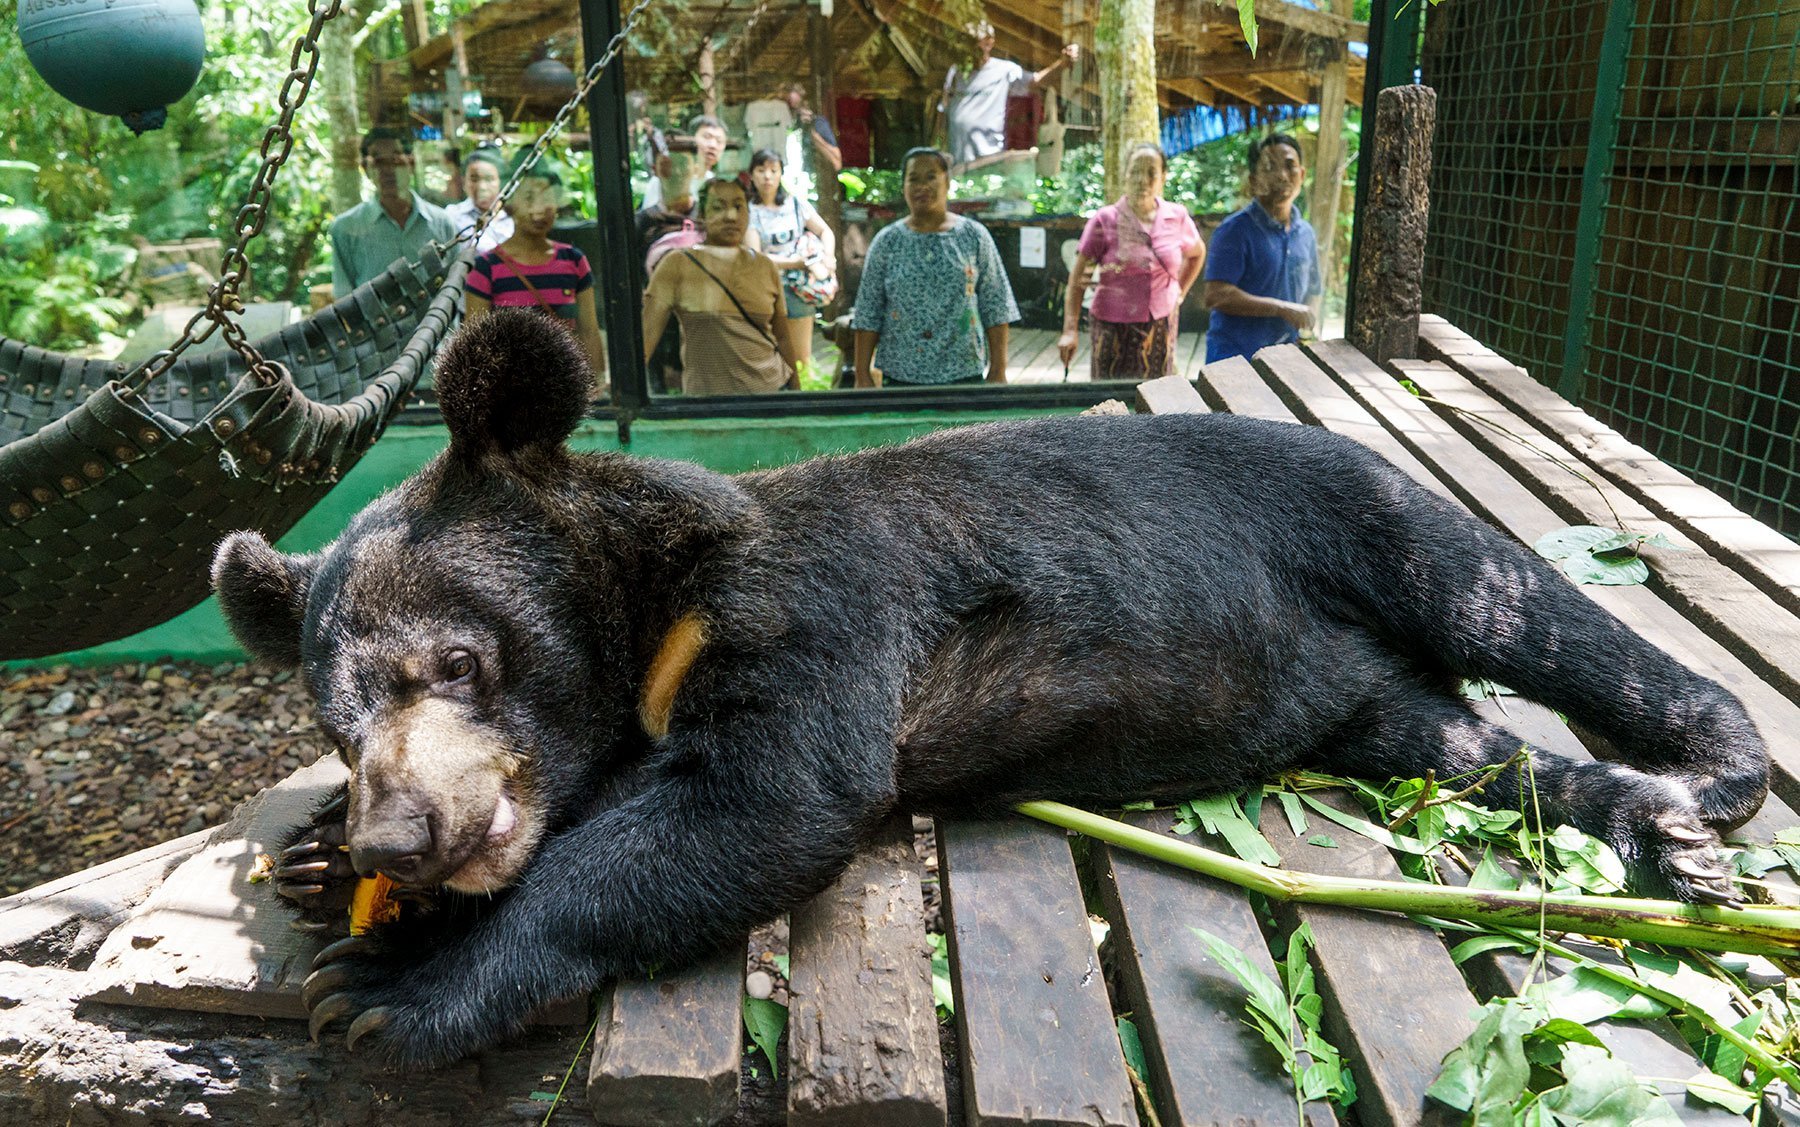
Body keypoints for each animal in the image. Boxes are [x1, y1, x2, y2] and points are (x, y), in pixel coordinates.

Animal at [214, 307, 1771, 1058]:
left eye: (458, 662)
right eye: (338, 730)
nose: (402, 830)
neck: (654, 612)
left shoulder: (815, 609)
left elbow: (754, 799)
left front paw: (395, 985)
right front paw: (322, 871)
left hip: (1369, 516)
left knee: (1526, 610)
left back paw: (1718, 774)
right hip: (1371, 705)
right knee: (1468, 741)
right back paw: (1650, 828)